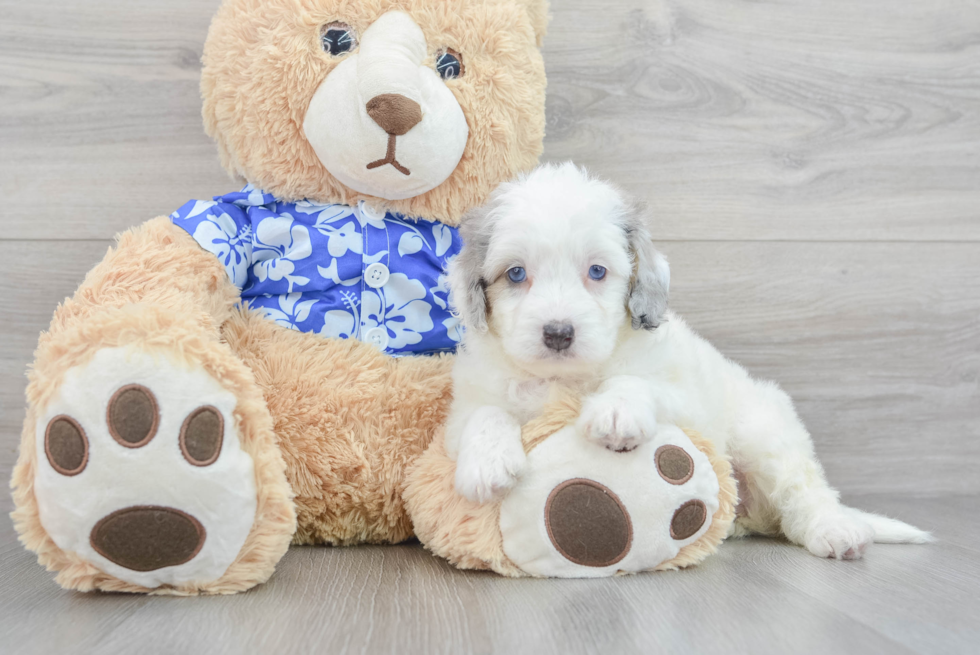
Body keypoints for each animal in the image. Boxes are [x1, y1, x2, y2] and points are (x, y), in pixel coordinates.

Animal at [446, 163, 936, 560]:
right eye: (515, 274)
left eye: (597, 271)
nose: (558, 333)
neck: (565, 381)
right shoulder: (467, 403)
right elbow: (484, 413)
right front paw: (488, 464)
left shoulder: (684, 400)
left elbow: (636, 381)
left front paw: (616, 411)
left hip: (764, 432)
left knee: (805, 490)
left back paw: (834, 529)